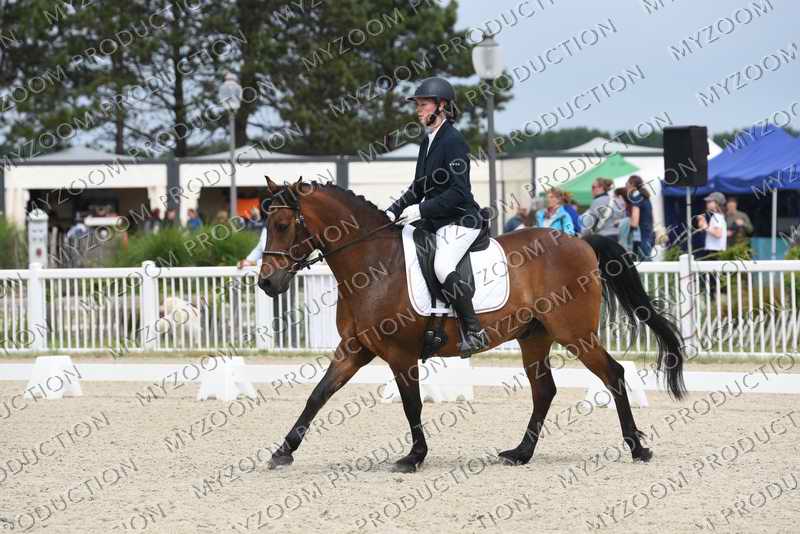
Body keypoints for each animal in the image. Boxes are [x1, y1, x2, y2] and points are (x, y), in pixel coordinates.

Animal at [258, 176, 686, 473]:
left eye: (282, 225)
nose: (266, 283)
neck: (371, 264)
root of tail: (580, 241)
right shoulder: (354, 349)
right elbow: (318, 395)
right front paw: (282, 452)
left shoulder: (400, 353)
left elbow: (411, 404)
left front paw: (414, 457)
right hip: (535, 337)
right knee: (544, 391)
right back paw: (520, 453)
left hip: (575, 334)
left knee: (612, 375)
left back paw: (638, 448)